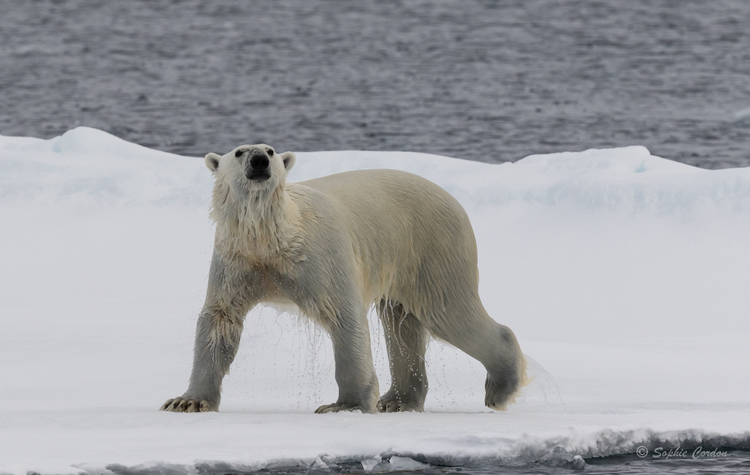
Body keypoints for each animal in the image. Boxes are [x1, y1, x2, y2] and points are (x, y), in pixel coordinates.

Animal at [163, 144, 528, 412]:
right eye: (239, 152)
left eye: (270, 149)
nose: (259, 161)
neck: (272, 238)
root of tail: (452, 198)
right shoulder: (236, 260)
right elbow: (219, 321)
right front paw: (187, 401)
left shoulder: (321, 256)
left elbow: (343, 316)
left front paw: (345, 405)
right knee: (401, 321)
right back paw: (398, 401)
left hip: (432, 247)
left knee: (446, 310)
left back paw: (501, 388)